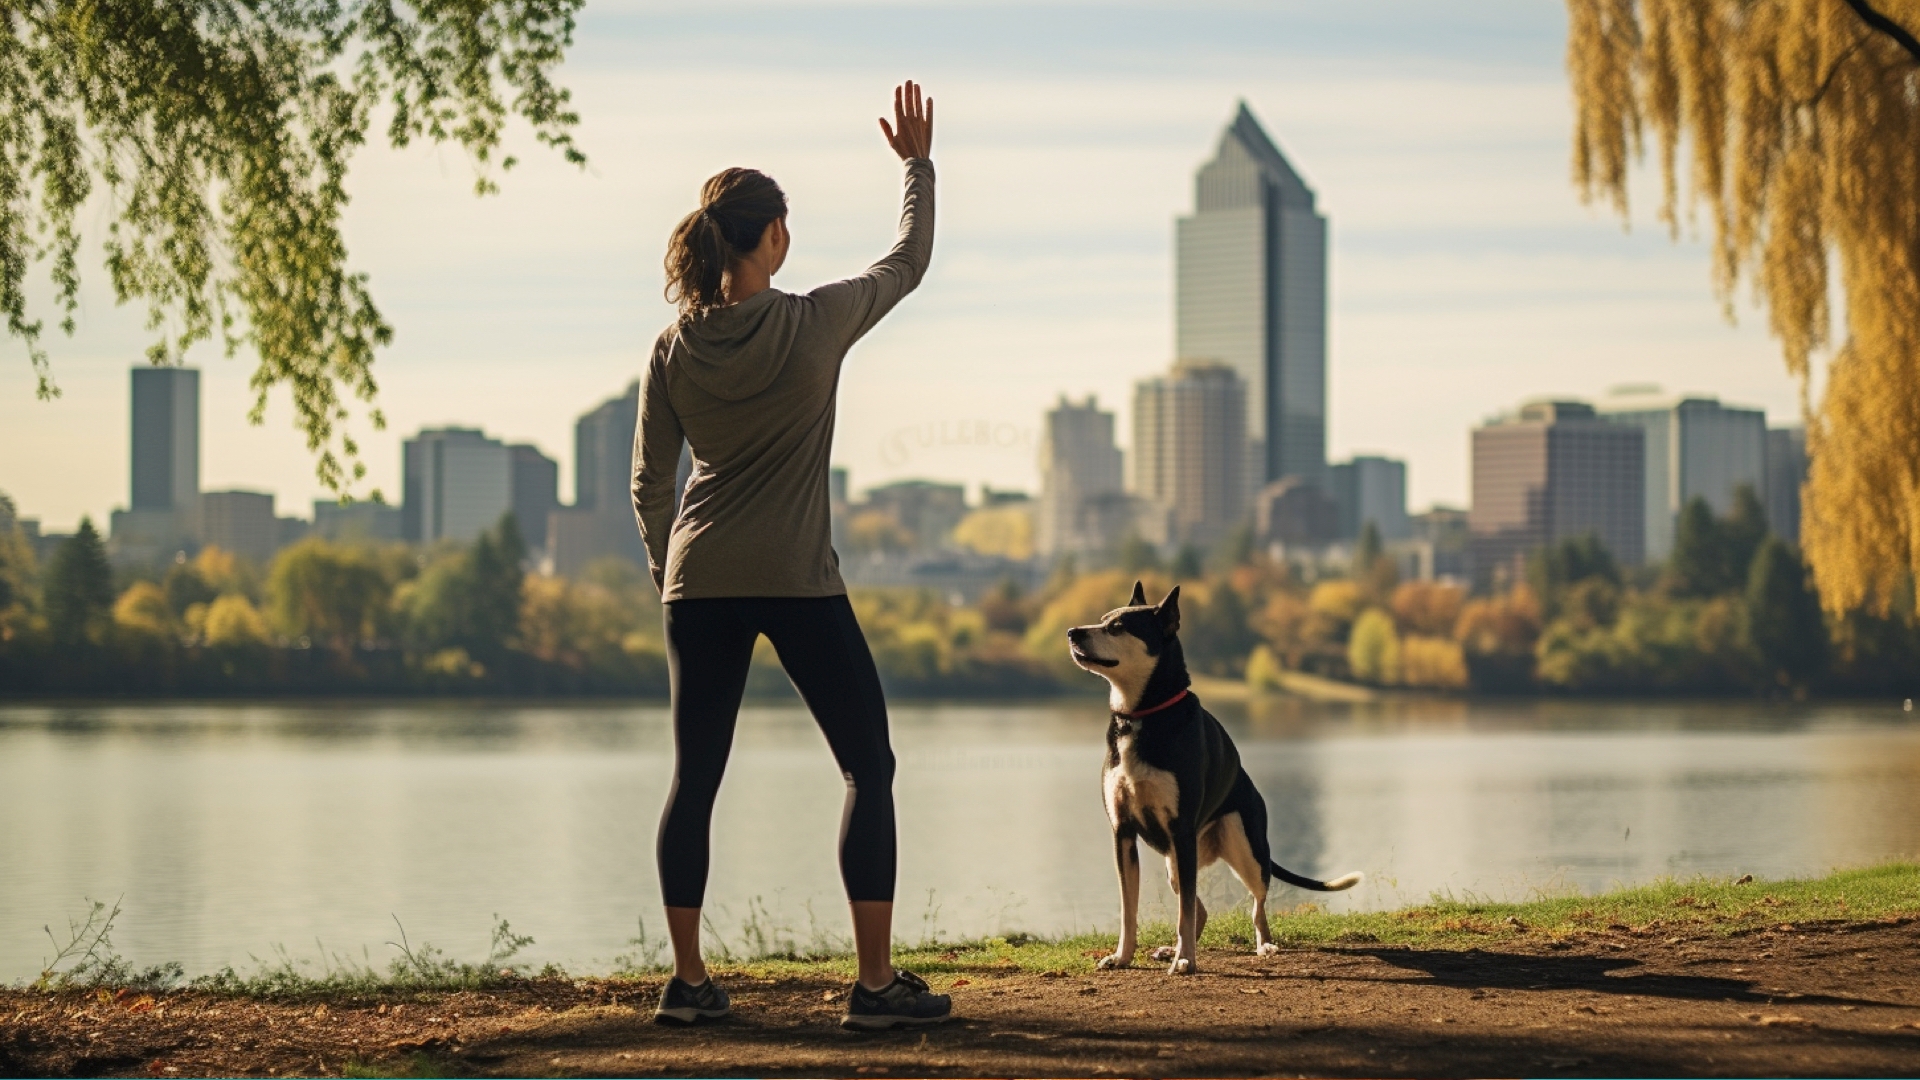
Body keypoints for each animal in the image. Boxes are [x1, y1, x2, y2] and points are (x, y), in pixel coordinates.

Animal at [1067, 584, 1367, 972]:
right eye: (1102, 620)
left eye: (1117, 627)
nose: (1072, 632)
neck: (1143, 715)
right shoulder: (1123, 832)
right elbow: (1128, 909)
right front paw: (1123, 956)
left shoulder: (1180, 829)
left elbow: (1184, 912)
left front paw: (1186, 960)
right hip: (1177, 863)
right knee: (1201, 909)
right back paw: (1171, 948)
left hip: (1244, 850)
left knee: (1255, 905)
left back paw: (1263, 945)